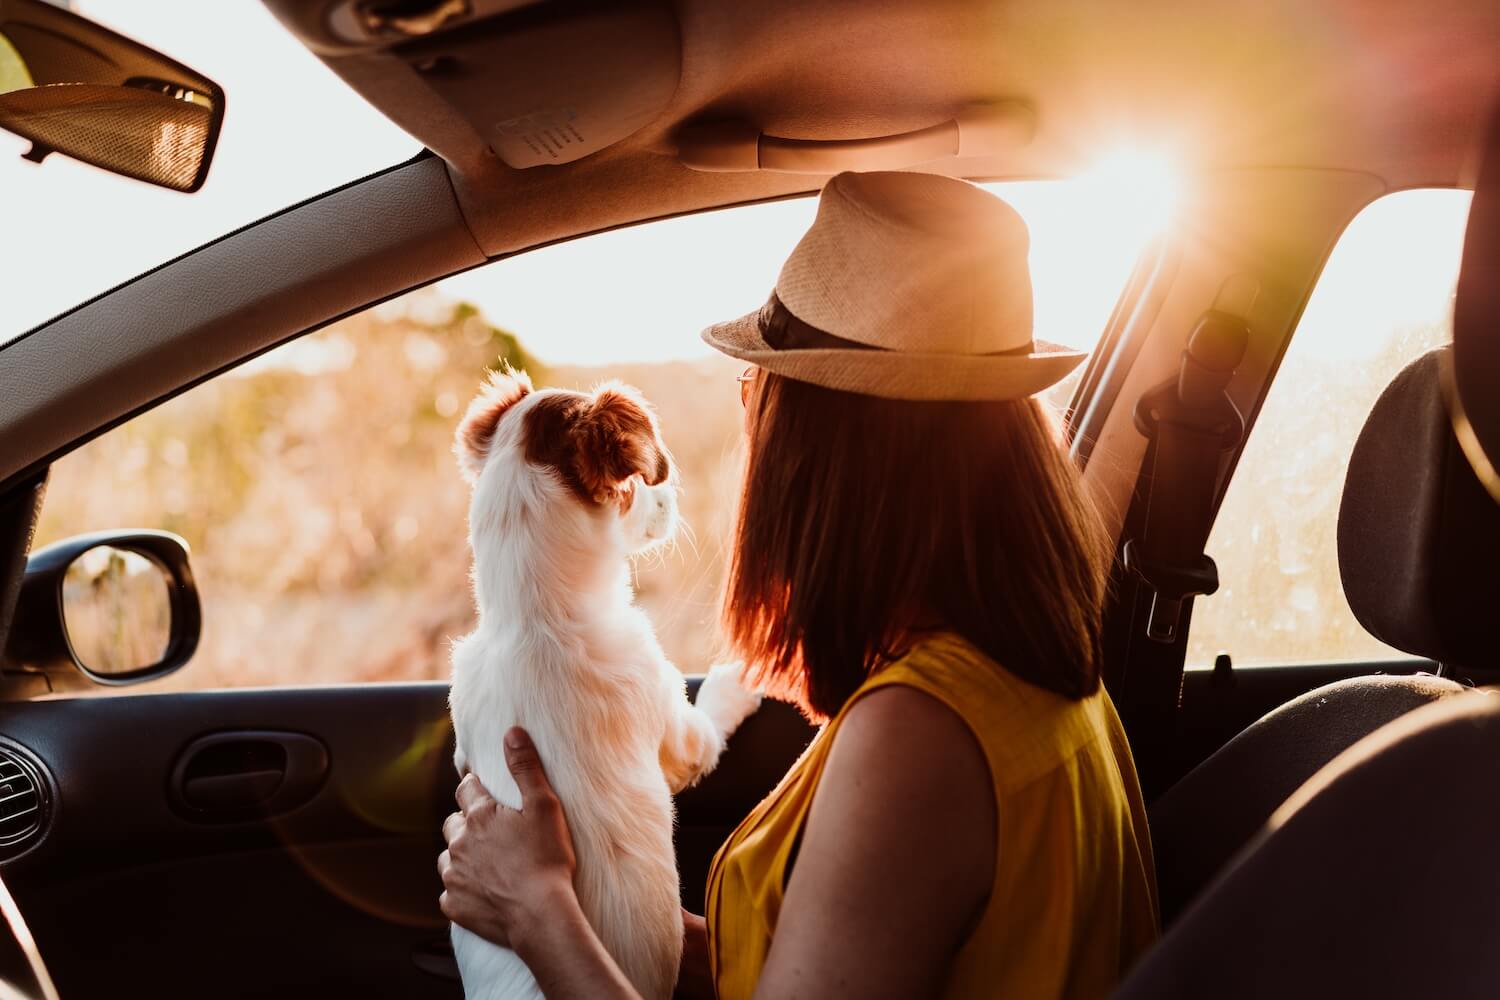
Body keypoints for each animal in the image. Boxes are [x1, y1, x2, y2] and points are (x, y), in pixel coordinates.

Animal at [441, 370, 750, 1000]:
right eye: (640, 482)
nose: (673, 497)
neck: (537, 619)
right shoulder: (675, 728)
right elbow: (709, 718)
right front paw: (736, 680)